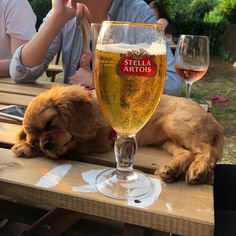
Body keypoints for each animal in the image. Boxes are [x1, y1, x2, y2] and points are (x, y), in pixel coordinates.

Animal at [12, 85, 224, 184]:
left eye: (50, 123)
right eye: (36, 140)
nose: (45, 144)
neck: (92, 111)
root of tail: (214, 122)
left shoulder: (102, 138)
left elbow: (76, 145)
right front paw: (26, 145)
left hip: (177, 125)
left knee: (206, 151)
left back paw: (199, 169)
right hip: (167, 141)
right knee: (187, 153)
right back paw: (171, 169)